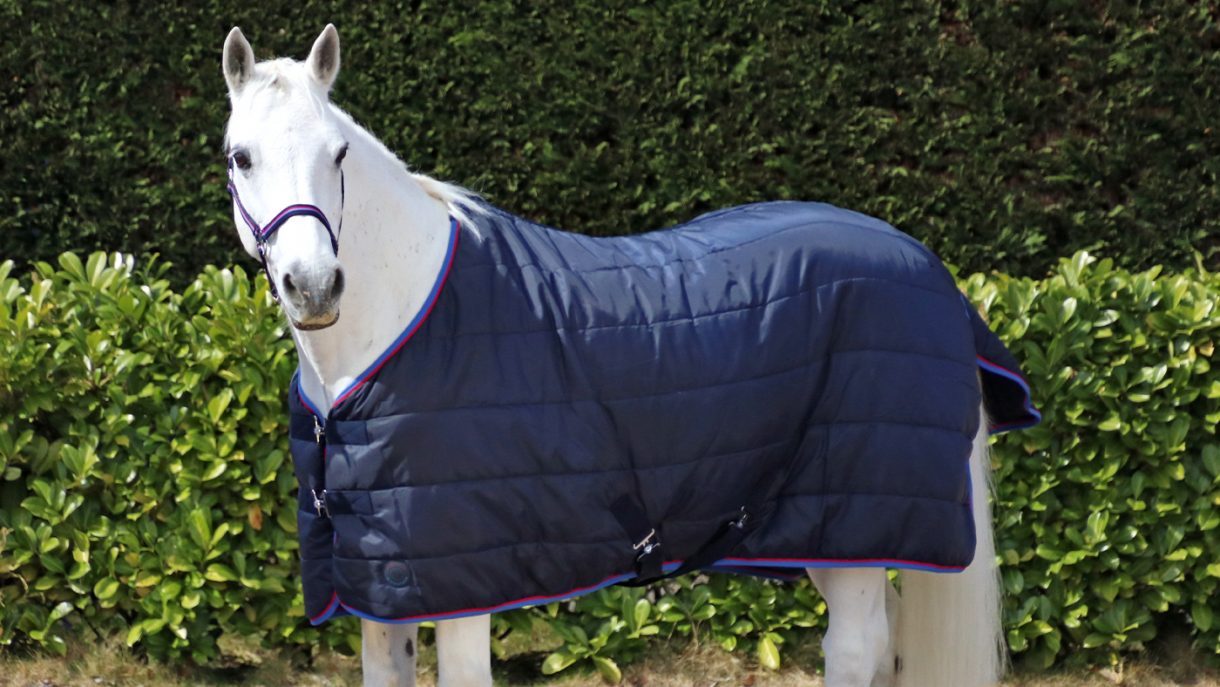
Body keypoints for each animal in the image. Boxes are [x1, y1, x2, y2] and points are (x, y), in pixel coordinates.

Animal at [220, 25, 1037, 687]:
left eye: (338, 152)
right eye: (241, 157)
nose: (314, 286)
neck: (400, 321)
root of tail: (926, 266)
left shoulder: (463, 582)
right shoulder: (381, 586)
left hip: (859, 526)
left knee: (857, 648)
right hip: (833, 534)